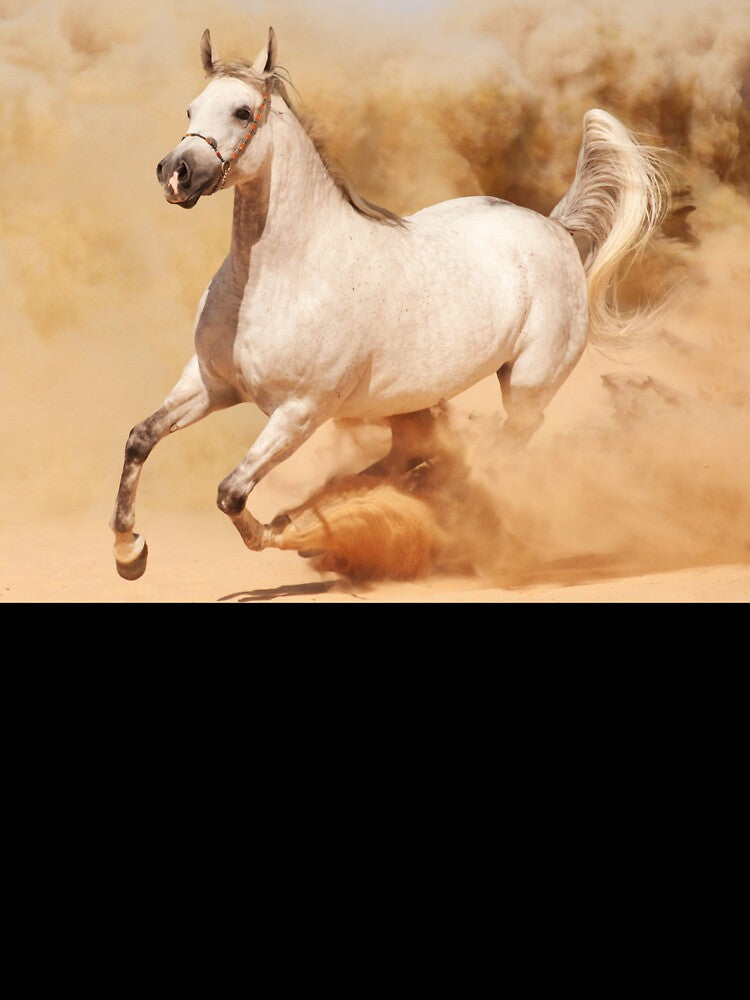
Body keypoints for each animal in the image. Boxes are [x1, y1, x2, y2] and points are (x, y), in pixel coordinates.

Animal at [111, 26, 672, 580]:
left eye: (242, 112)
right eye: (190, 110)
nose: (176, 173)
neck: (280, 277)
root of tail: (554, 229)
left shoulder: (300, 412)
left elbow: (231, 493)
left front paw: (287, 532)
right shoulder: (210, 384)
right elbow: (140, 437)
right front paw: (129, 552)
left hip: (528, 388)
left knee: (498, 455)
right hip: (422, 401)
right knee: (422, 456)